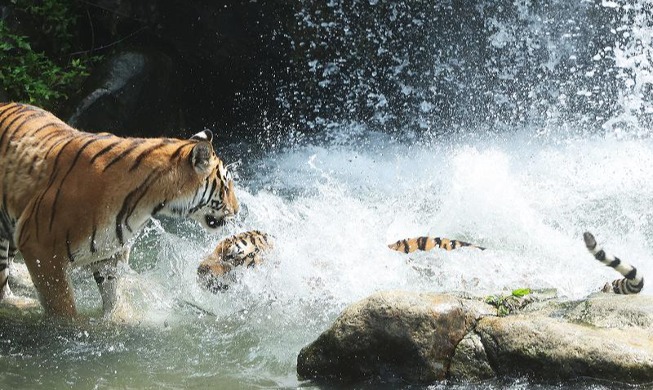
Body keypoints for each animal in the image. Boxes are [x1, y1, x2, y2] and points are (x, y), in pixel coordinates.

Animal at [0, 103, 239, 316]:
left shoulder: (109, 253)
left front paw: (117, 319)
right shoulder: (42, 249)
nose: (237, 211)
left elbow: (112, 297)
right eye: (226, 186)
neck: (147, 203)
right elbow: (64, 311)